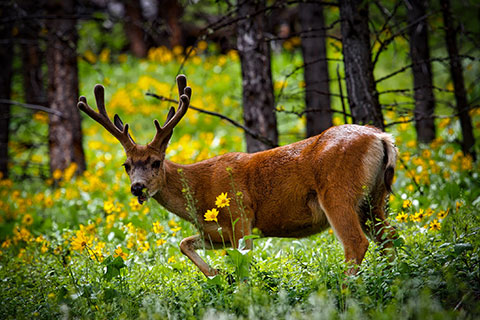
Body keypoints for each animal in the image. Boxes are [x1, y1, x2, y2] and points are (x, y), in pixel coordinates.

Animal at [79, 74, 400, 278]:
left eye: (156, 162)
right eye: (126, 165)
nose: (138, 188)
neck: (199, 191)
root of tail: (382, 137)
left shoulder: (240, 216)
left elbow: (244, 265)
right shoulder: (216, 232)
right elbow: (184, 243)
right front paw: (217, 274)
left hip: (337, 192)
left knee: (356, 244)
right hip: (374, 198)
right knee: (390, 238)